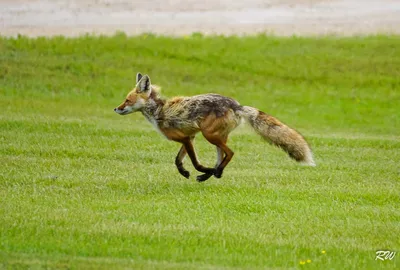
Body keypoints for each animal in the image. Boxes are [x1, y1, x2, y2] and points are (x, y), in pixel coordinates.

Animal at [113, 73, 316, 181]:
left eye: (127, 100)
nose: (116, 108)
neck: (160, 111)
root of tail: (236, 104)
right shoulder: (190, 137)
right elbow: (178, 160)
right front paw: (185, 172)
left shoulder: (186, 138)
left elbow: (195, 162)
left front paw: (201, 170)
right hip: (215, 137)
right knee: (222, 157)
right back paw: (213, 174)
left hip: (210, 135)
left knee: (230, 153)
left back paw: (213, 173)